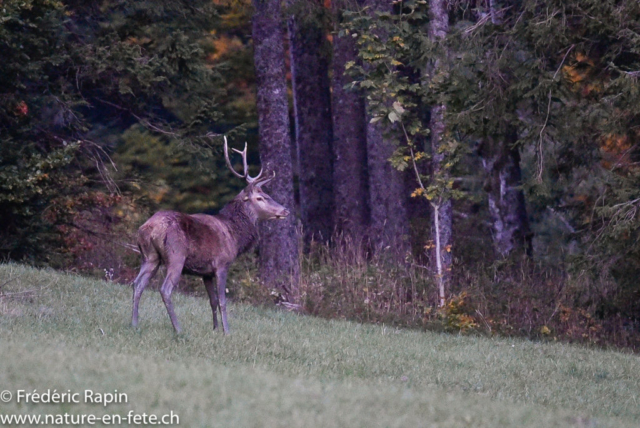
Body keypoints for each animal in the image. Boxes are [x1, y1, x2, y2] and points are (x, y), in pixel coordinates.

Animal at [130, 136, 289, 335]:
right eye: (260, 198)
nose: (285, 210)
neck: (235, 236)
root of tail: (149, 228)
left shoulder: (205, 272)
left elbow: (212, 301)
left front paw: (215, 328)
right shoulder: (222, 264)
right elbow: (222, 301)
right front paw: (227, 331)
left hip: (149, 256)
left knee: (137, 284)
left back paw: (134, 323)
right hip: (176, 256)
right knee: (165, 289)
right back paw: (178, 329)